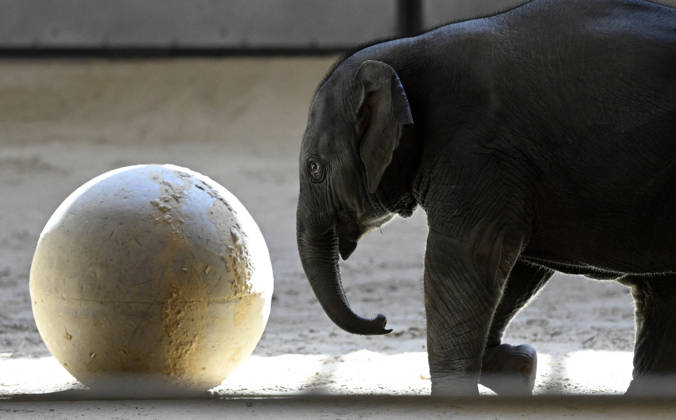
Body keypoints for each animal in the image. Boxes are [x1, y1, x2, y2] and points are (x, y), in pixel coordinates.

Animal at [296, 0, 676, 396]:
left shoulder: (477, 154)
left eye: (314, 169)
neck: (407, 49)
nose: (384, 321)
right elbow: (517, 266)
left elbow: (468, 258)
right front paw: (518, 366)